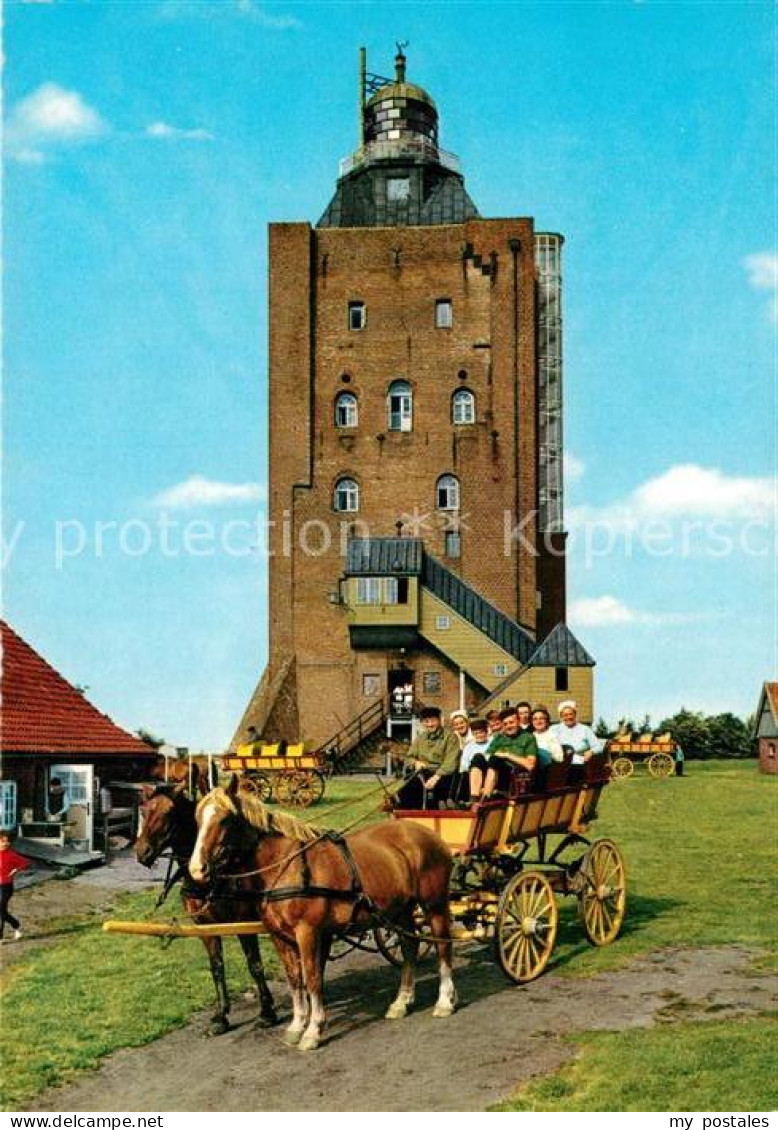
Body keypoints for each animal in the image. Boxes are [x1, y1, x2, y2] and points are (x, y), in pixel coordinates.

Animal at [135, 786, 278, 1035]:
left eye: (169, 812)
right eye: (143, 811)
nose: (142, 852)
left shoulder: (243, 921)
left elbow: (255, 965)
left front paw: (267, 1012)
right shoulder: (205, 926)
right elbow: (217, 967)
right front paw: (221, 1016)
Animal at [188, 777, 456, 1048]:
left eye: (225, 819)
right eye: (197, 819)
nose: (197, 869)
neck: (286, 866)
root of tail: (428, 834)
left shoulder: (308, 932)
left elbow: (312, 978)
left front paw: (313, 1030)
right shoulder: (279, 936)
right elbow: (295, 980)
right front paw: (297, 1025)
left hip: (434, 905)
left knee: (443, 945)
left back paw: (444, 1000)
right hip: (401, 909)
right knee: (410, 947)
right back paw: (402, 1001)